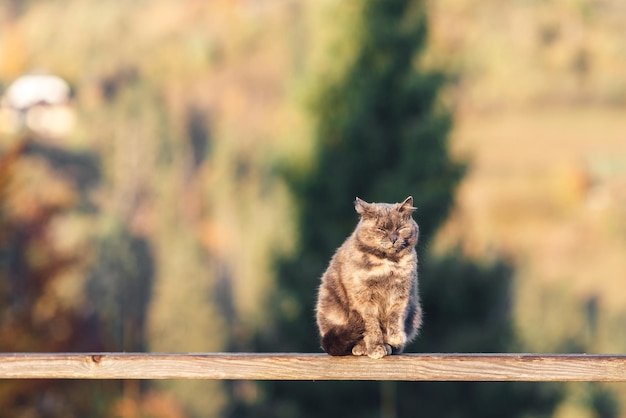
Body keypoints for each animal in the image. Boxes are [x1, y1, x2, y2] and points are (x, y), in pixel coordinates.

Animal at [314, 197, 422, 360]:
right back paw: (361, 348)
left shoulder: (401, 294)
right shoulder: (363, 299)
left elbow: (395, 317)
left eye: (400, 228)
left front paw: (394, 338)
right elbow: (372, 327)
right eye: (381, 229)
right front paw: (375, 348)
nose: (393, 238)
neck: (387, 262)